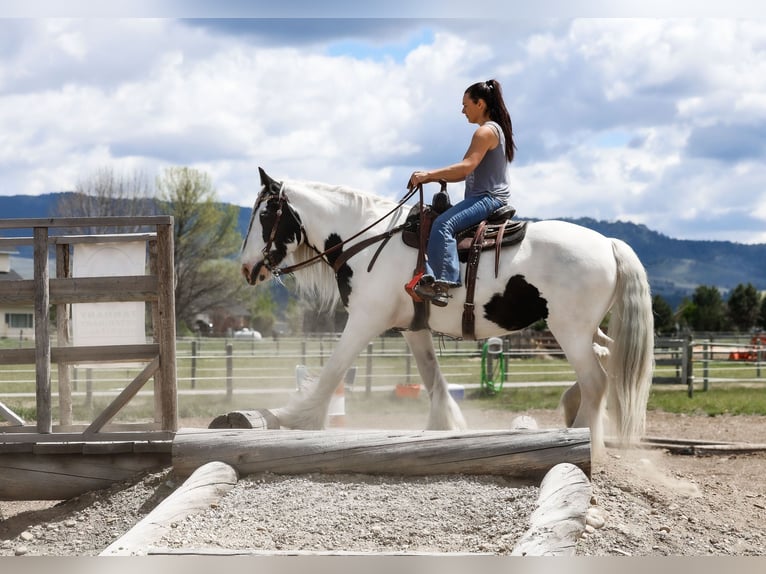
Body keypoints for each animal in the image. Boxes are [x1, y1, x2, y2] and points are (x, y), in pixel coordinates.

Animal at [240, 169, 656, 456]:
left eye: (265, 214)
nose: (246, 268)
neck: (369, 239)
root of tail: (609, 244)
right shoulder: (412, 327)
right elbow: (432, 377)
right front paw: (444, 426)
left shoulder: (364, 319)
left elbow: (332, 371)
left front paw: (296, 418)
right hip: (586, 330)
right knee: (609, 356)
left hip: (568, 329)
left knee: (597, 380)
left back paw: (583, 437)